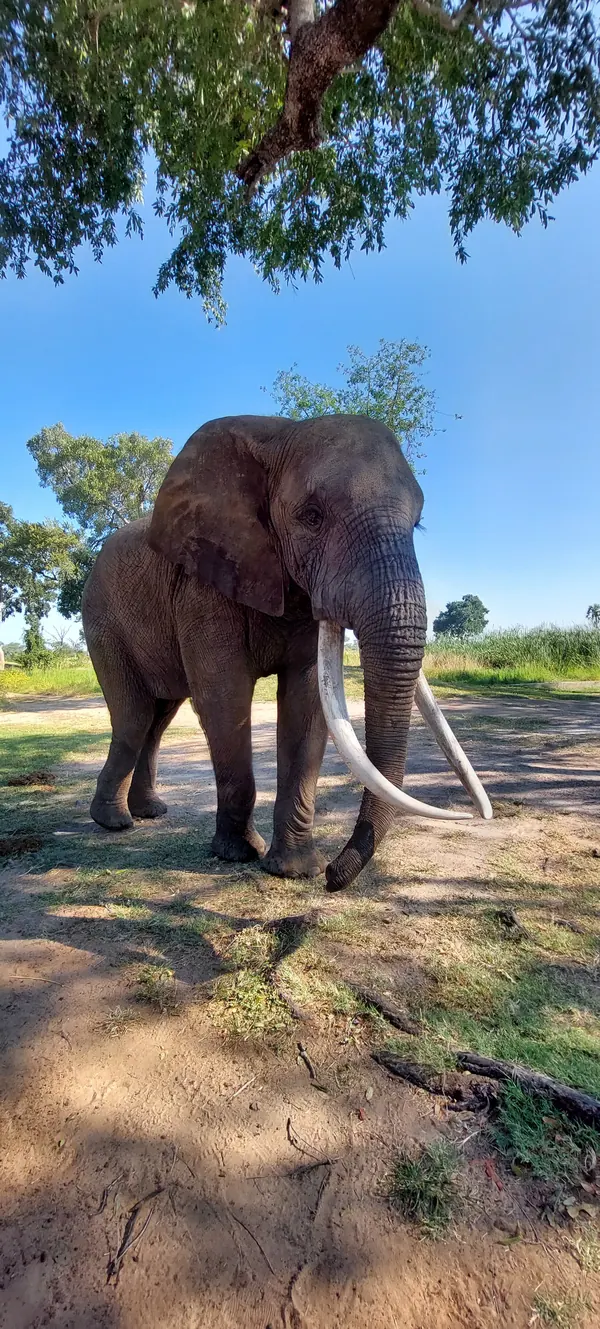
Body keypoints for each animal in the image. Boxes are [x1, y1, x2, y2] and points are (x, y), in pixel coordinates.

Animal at [82, 414, 491, 892]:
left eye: (419, 524)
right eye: (311, 517)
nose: (333, 877)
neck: (278, 435)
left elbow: (307, 702)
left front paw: (296, 870)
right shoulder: (204, 585)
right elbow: (225, 698)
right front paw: (238, 855)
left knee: (159, 717)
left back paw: (150, 813)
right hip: (102, 622)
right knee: (135, 715)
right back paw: (114, 823)